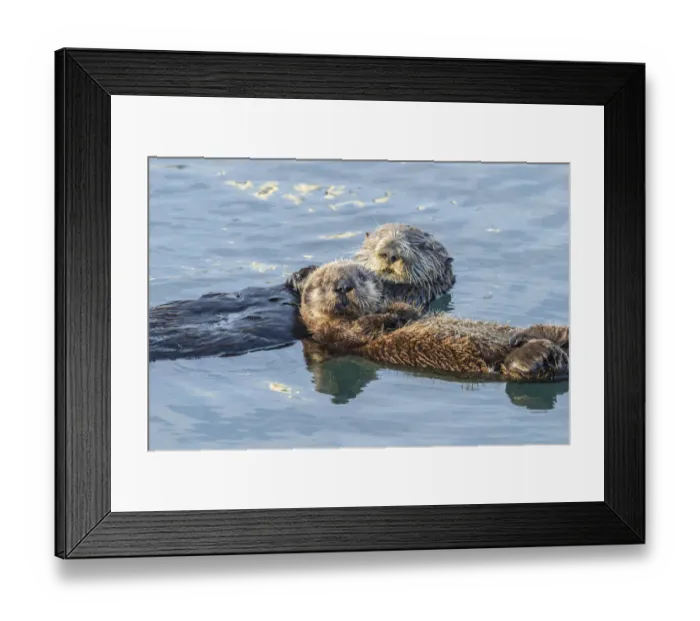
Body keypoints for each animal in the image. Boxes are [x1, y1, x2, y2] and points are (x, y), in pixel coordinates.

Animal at [300, 260, 569, 381]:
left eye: (361, 277)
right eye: (321, 283)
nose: (343, 285)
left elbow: (408, 309)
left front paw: (397, 312)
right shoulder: (333, 337)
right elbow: (358, 328)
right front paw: (388, 316)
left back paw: (524, 335)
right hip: (510, 367)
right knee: (521, 365)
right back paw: (535, 352)